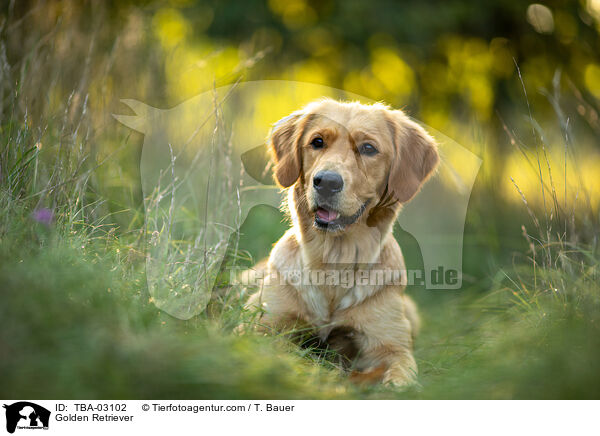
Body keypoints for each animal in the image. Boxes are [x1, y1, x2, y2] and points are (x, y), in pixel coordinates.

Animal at [244, 99, 440, 384]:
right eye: (317, 142)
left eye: (368, 148)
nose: (326, 182)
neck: (334, 261)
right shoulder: (262, 324)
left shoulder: (390, 346)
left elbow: (401, 376)